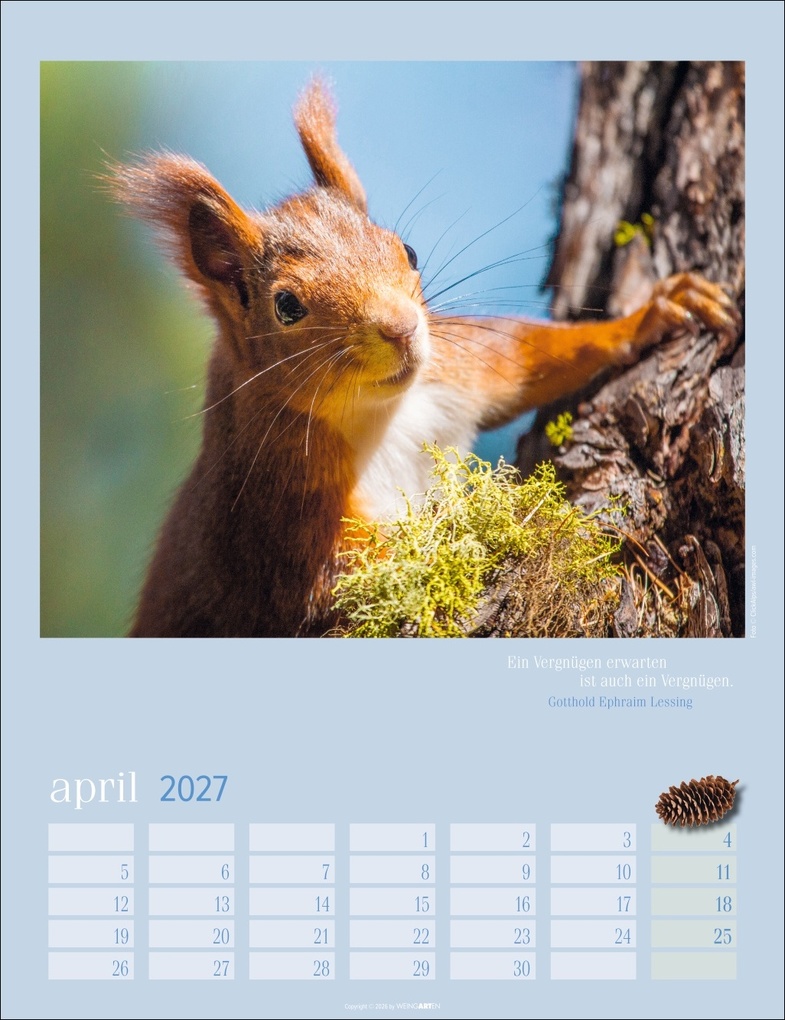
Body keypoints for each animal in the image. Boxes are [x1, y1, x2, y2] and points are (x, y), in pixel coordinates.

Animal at [113, 79, 740, 638]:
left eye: (407, 251)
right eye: (286, 306)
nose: (401, 328)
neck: (383, 411)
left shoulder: (455, 372)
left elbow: (529, 355)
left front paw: (653, 314)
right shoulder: (278, 505)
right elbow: (354, 572)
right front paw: (479, 538)